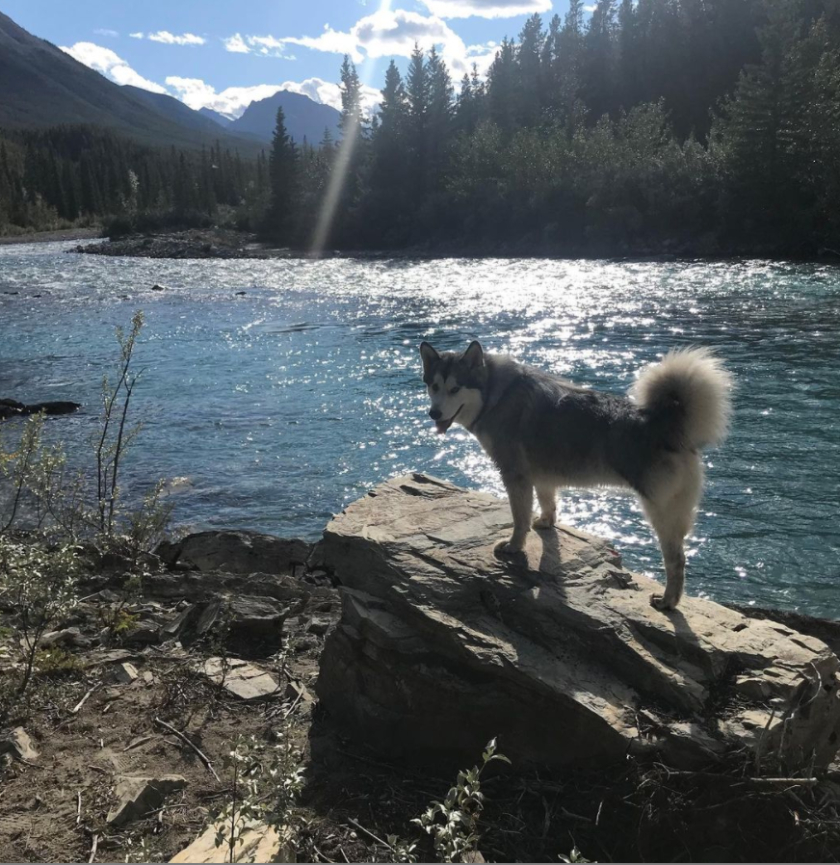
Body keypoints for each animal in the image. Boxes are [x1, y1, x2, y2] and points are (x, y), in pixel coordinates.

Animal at [416, 338, 732, 608]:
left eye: (455, 388)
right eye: (434, 386)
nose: (434, 414)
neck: (495, 393)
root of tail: (666, 421)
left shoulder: (515, 474)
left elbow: (519, 518)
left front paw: (515, 546)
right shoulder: (540, 475)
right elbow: (547, 502)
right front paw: (545, 522)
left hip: (660, 512)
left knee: (676, 561)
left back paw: (669, 601)